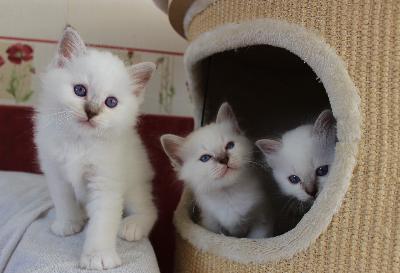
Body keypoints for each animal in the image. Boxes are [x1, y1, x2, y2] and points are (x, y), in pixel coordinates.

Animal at [34, 26, 158, 268]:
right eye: (80, 90)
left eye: (111, 102)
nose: (91, 112)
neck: (79, 141)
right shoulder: (56, 174)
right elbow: (63, 201)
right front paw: (68, 224)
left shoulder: (105, 181)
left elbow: (102, 223)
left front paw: (98, 256)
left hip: (134, 187)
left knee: (150, 210)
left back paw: (132, 225)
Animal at [161, 103, 274, 237]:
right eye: (205, 158)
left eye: (230, 146)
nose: (224, 159)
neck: (229, 193)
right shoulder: (210, 223)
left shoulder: (261, 220)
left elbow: (254, 238)